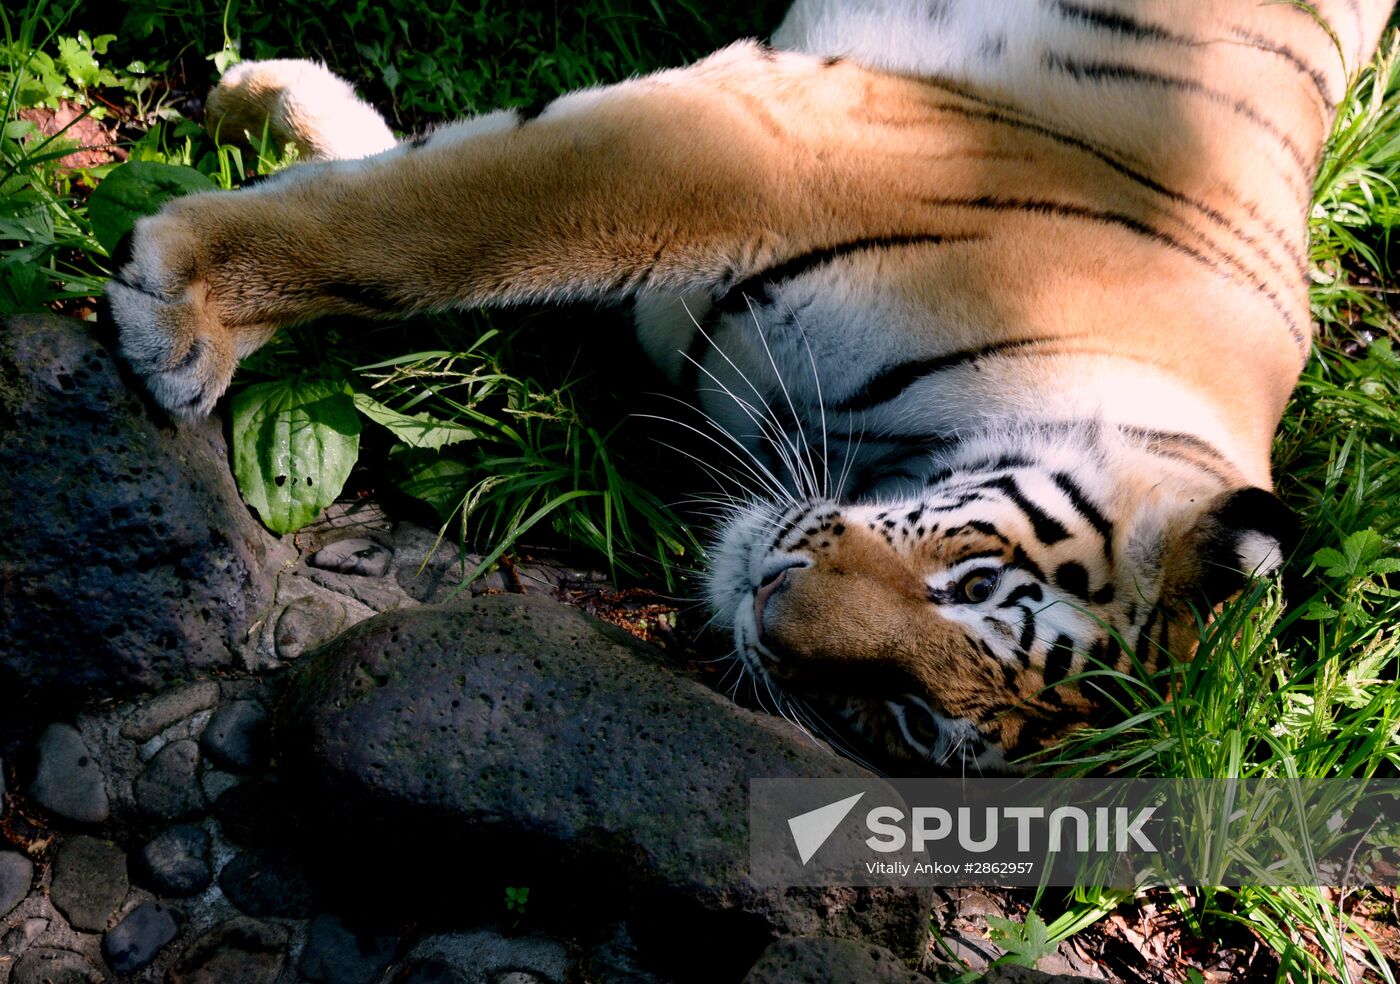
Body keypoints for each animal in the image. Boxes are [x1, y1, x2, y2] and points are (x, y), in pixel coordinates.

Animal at [103, 0, 1394, 772]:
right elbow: (434, 222)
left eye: (914, 720)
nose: (769, 613)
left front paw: (286, 115)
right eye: (979, 582)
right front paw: (187, 296)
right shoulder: (755, 147)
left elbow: (446, 203)